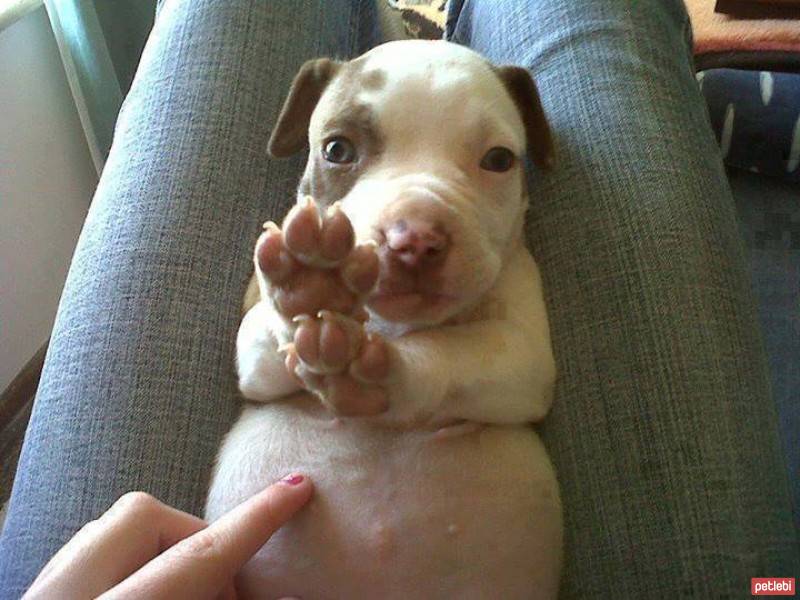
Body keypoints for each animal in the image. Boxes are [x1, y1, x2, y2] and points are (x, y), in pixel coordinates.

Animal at [206, 39, 564, 596]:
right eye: (337, 150)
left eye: (499, 160)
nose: (415, 238)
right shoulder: (253, 357)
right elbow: (269, 334)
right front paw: (307, 288)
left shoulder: (521, 357)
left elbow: (451, 351)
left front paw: (386, 371)